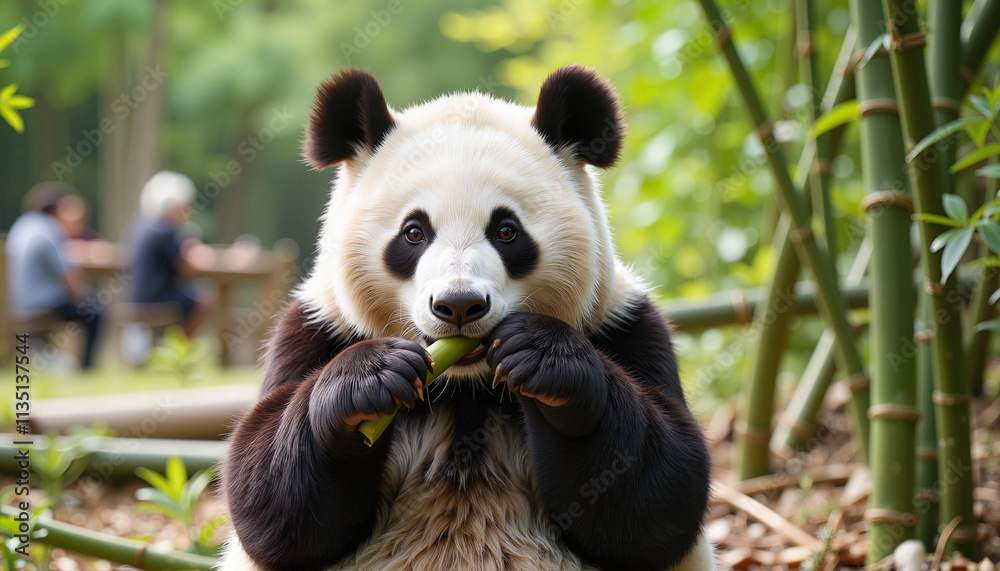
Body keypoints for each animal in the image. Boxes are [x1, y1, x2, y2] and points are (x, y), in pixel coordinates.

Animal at [220, 65, 715, 571]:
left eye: (506, 231)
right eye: (414, 233)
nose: (459, 305)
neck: (464, 385)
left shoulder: (623, 324)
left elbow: (662, 492)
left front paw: (542, 356)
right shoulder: (317, 328)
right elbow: (267, 499)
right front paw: (372, 376)